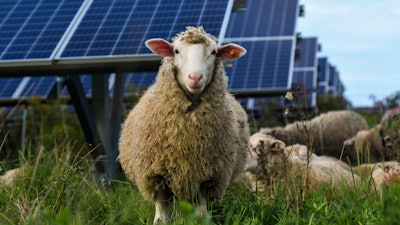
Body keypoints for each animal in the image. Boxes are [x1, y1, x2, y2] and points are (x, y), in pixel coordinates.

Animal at [118, 25, 250, 223]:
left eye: (214, 52)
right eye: (176, 51)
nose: (195, 77)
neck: (186, 136)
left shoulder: (207, 178)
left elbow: (201, 216)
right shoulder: (157, 179)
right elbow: (161, 219)